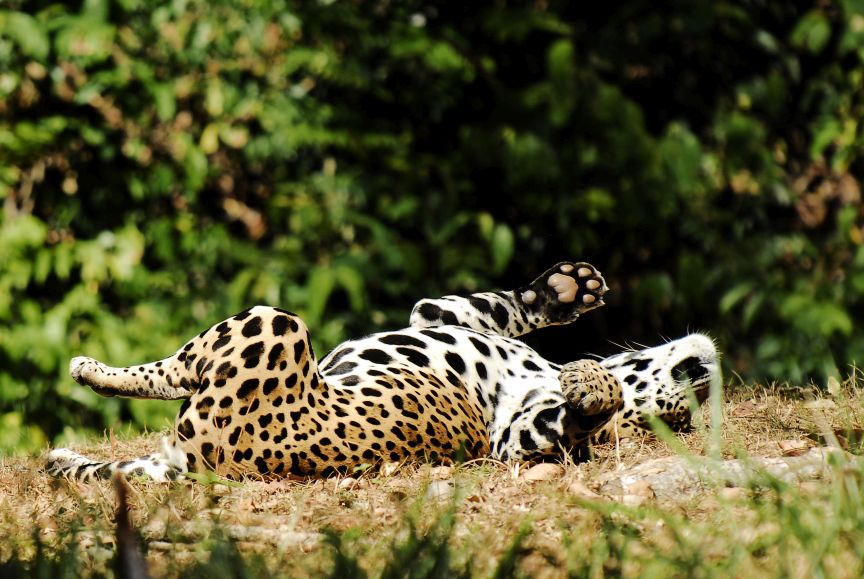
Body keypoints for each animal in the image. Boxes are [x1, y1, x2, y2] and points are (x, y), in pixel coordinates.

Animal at [45, 261, 720, 482]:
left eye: (675, 420)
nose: (702, 385)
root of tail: (216, 461)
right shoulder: (446, 313)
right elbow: (506, 304)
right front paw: (566, 289)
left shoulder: (507, 425)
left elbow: (564, 425)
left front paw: (592, 394)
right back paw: (64, 453)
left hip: (273, 322)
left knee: (173, 371)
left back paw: (87, 371)